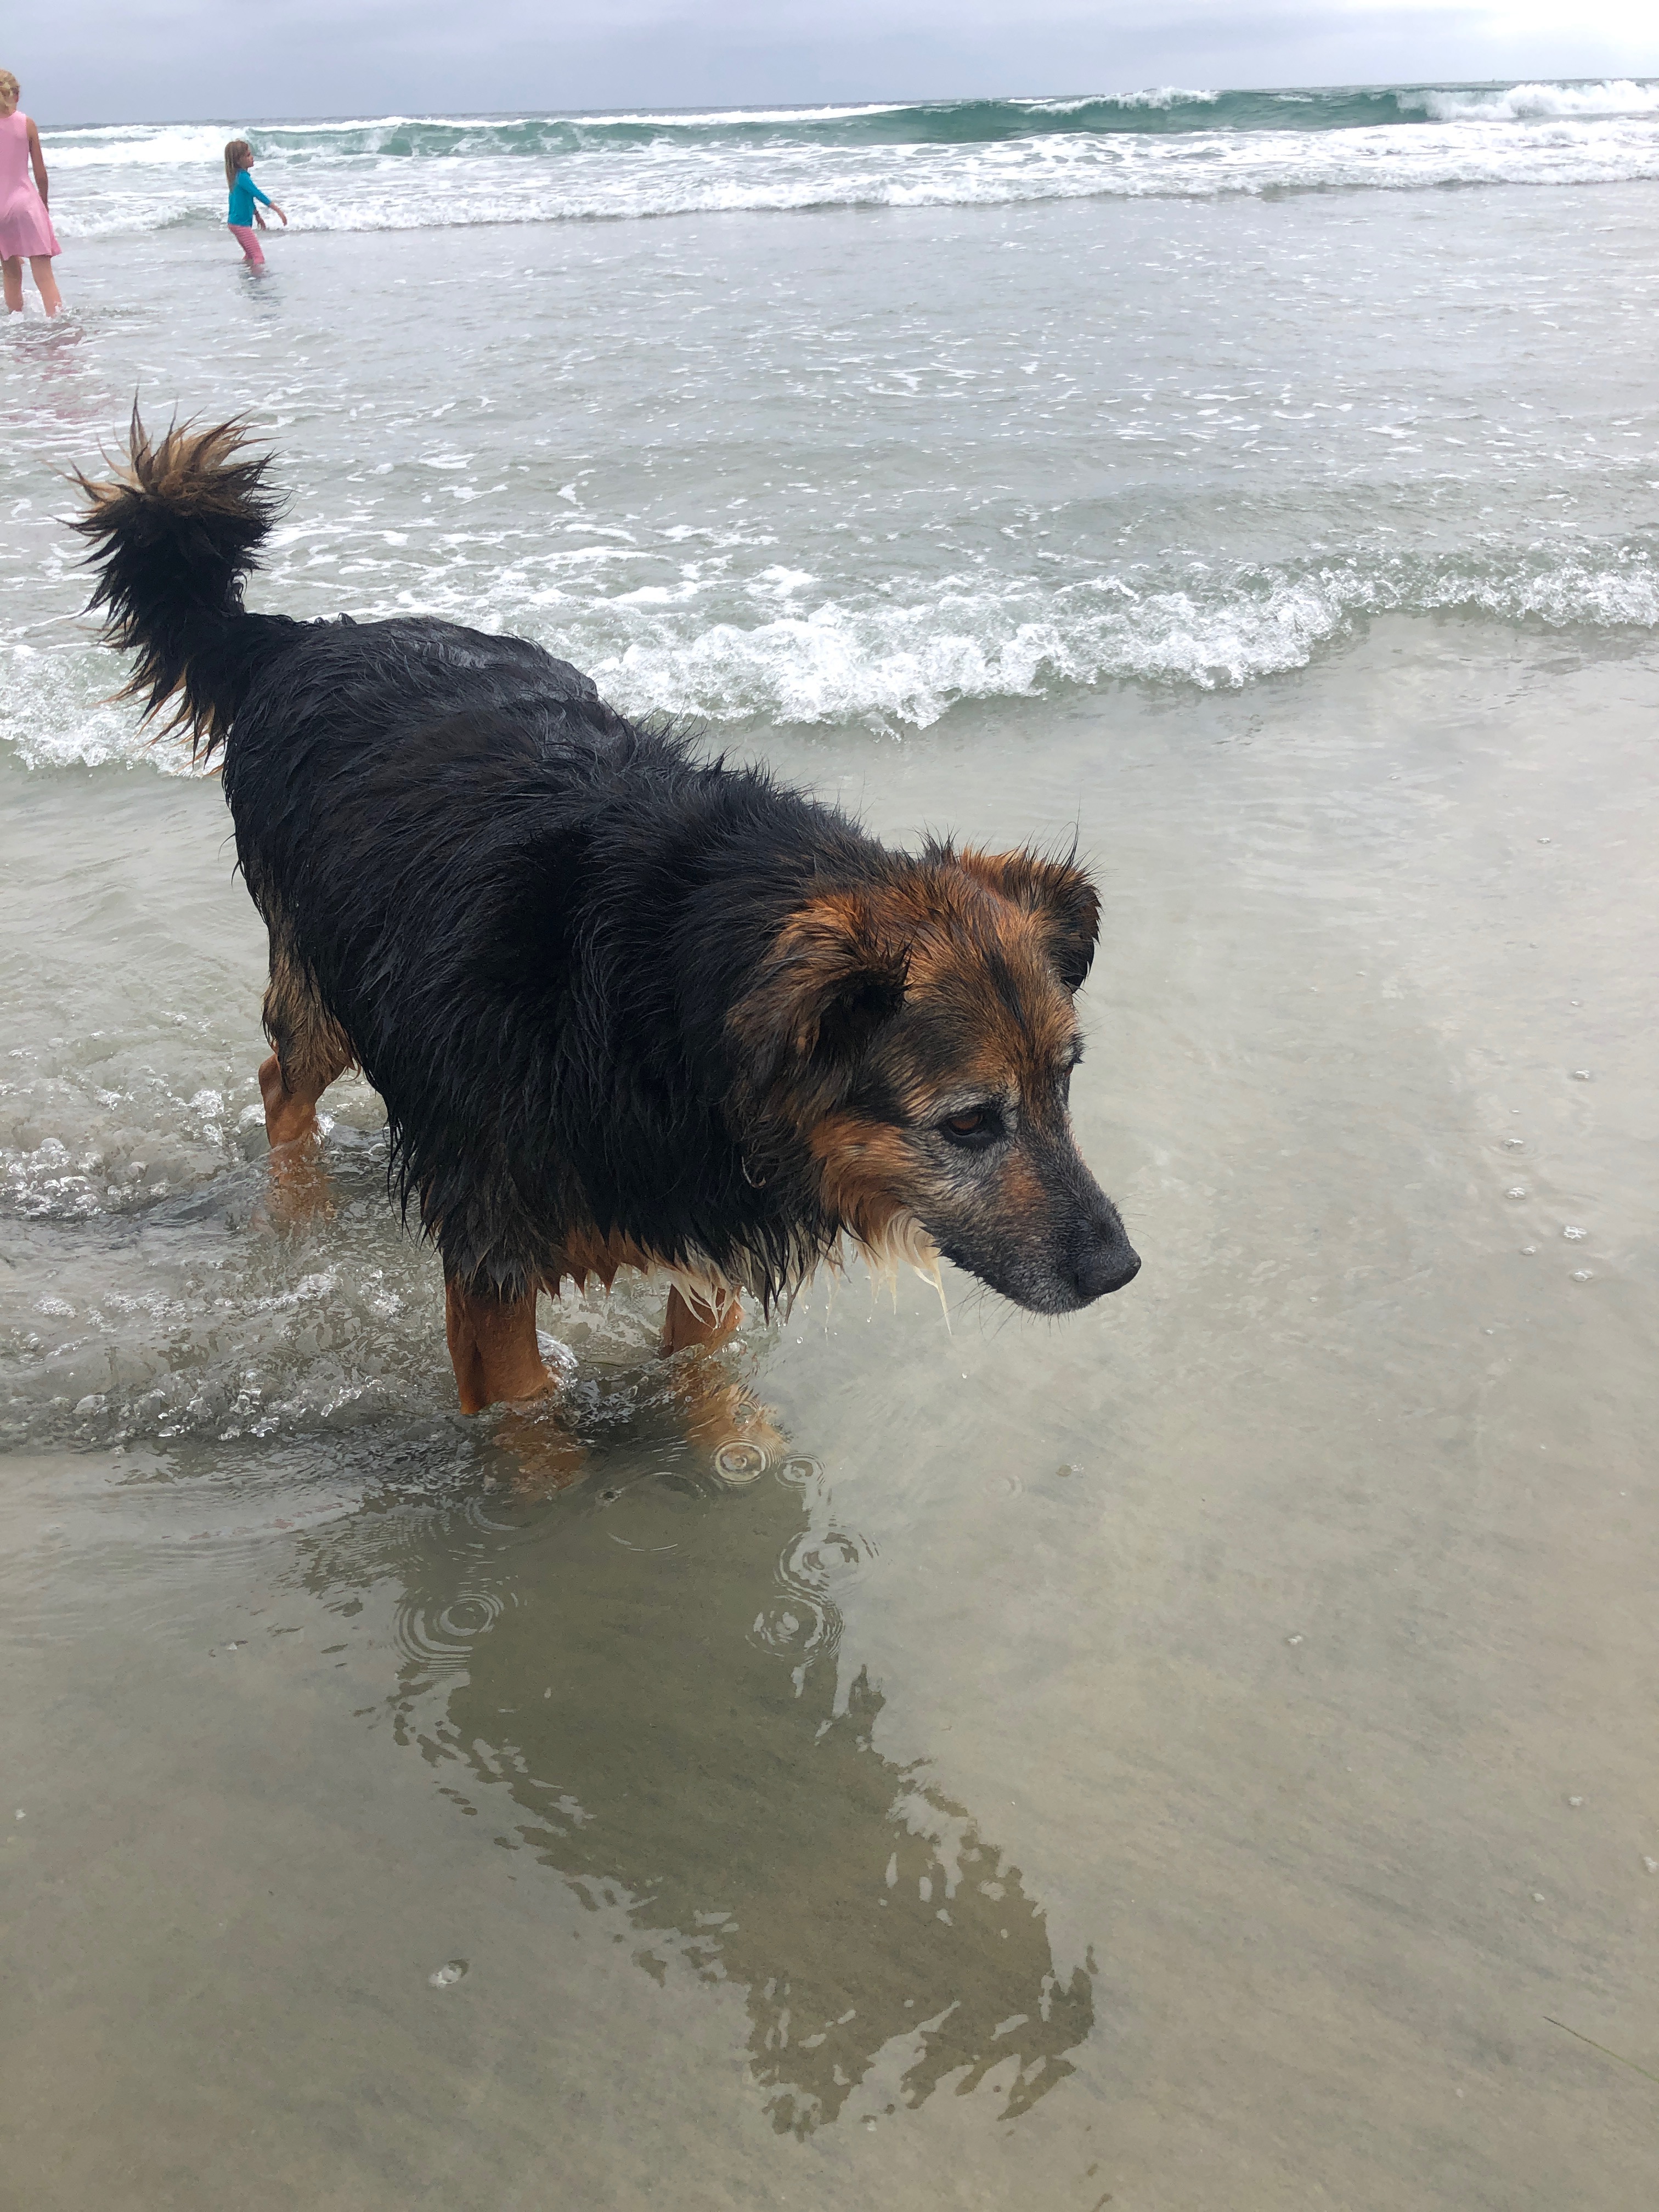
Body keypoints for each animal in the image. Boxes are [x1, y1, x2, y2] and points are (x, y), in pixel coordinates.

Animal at [72, 416, 1139, 1419]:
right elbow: (529, 1428)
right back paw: (298, 1217)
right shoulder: (497, 1257)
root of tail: (301, 636)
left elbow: (700, 1374)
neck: (651, 993)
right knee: (279, 1081)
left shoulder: (703, 1219)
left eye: (1064, 1082)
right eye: (969, 1122)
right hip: (320, 973)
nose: (1119, 1272)